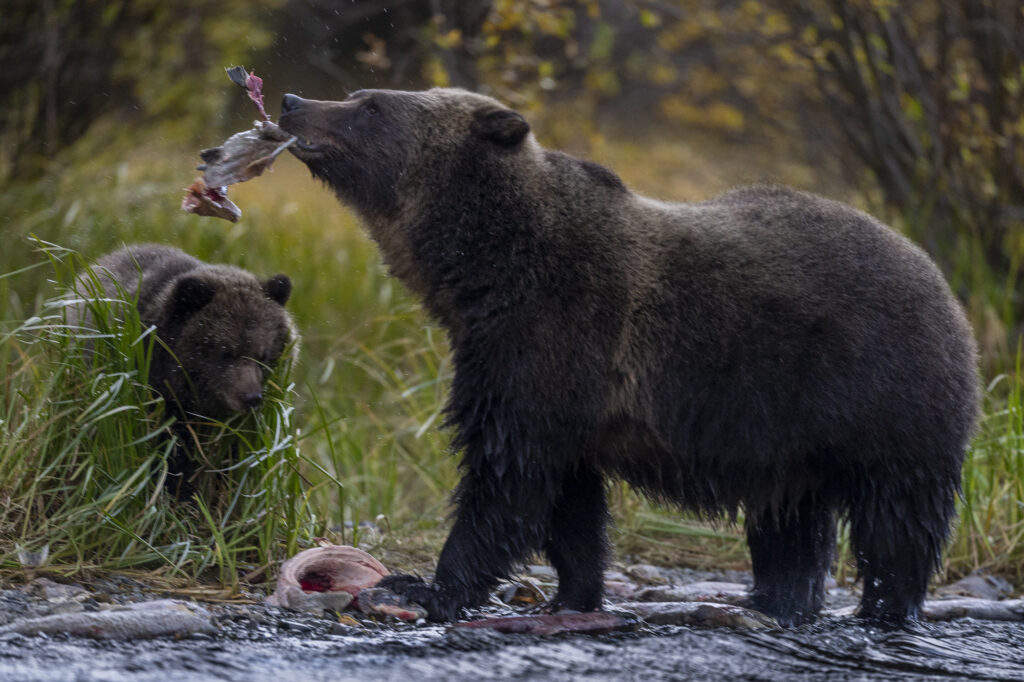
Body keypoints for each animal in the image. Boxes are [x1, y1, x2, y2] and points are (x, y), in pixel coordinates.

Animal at [279, 88, 979, 626]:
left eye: (372, 104)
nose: (291, 103)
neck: (485, 272)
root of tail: (938, 275)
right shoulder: (540, 379)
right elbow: (569, 503)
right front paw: (573, 592)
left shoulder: (552, 338)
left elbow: (505, 480)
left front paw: (426, 587)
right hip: (792, 441)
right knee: (789, 526)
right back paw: (776, 602)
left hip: (881, 393)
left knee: (897, 521)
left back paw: (884, 609)